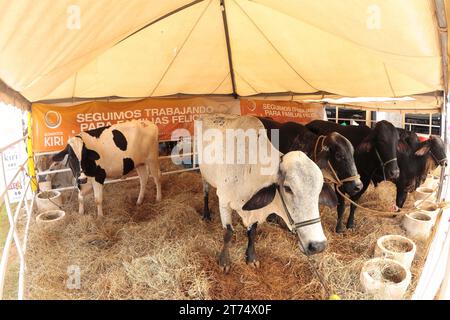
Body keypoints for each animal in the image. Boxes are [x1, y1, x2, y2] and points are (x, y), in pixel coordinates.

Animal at [195, 114, 328, 272]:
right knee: (205, 192)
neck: (248, 169)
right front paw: (224, 261)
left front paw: (251, 257)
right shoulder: (224, 201)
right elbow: (228, 233)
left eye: (319, 190)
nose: (318, 246)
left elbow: (252, 232)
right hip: (203, 173)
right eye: (288, 188)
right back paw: (206, 214)